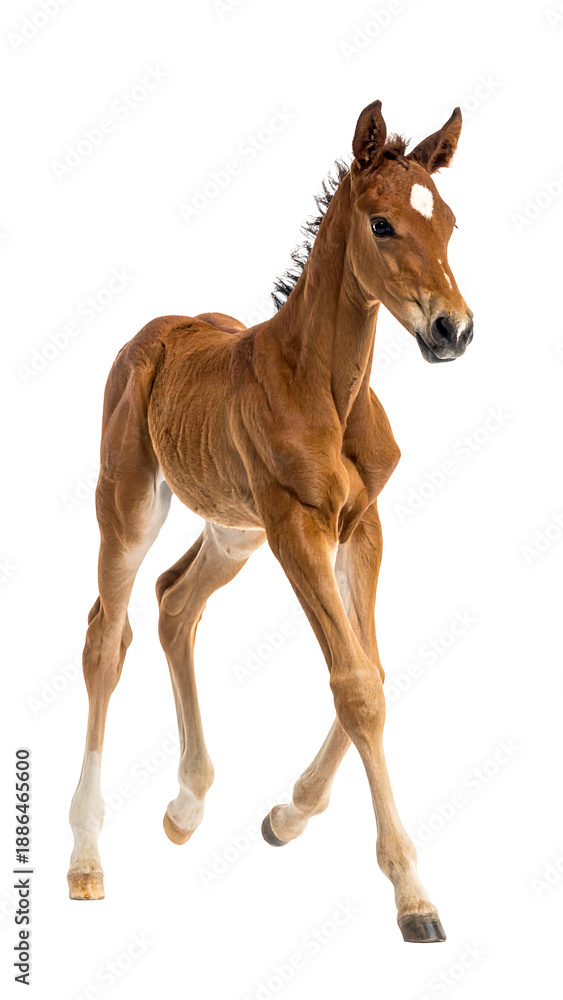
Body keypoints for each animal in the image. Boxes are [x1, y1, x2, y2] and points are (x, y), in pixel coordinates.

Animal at [68, 100, 473, 943]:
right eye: (382, 224)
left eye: (448, 221)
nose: (453, 329)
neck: (326, 387)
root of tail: (154, 333)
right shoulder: (295, 529)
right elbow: (355, 684)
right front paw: (411, 894)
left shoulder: (361, 528)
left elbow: (371, 669)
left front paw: (287, 815)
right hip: (130, 504)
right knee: (105, 638)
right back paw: (86, 858)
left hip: (232, 530)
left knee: (173, 601)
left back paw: (187, 807)